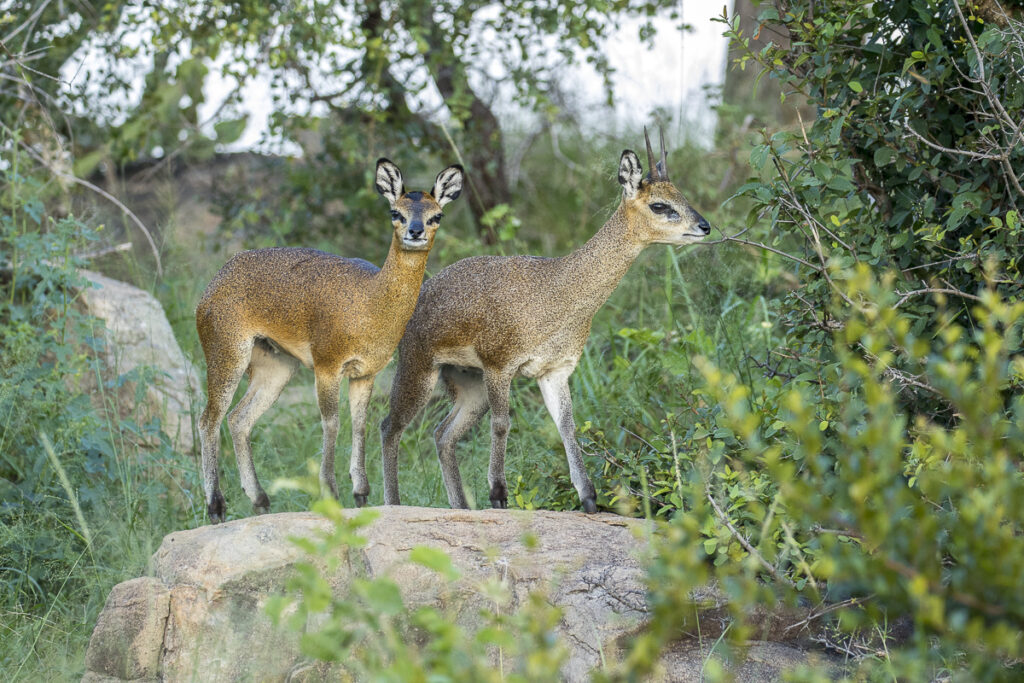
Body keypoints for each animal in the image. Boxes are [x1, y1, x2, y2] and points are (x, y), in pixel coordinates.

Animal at [194, 160, 464, 524]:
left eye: (437, 215)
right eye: (396, 212)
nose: (416, 231)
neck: (370, 302)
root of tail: (214, 282)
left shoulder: (366, 372)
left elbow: (360, 424)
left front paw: (361, 494)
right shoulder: (327, 365)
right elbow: (331, 423)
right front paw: (330, 493)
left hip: (276, 366)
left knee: (239, 418)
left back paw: (260, 500)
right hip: (227, 353)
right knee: (209, 418)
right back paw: (216, 507)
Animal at [380, 129, 708, 511]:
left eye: (680, 194)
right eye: (659, 205)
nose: (704, 226)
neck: (555, 290)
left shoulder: (555, 371)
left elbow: (567, 427)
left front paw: (589, 498)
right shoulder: (500, 366)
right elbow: (503, 424)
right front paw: (498, 494)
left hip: (468, 384)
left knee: (442, 434)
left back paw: (460, 506)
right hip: (419, 370)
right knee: (390, 427)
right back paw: (391, 502)